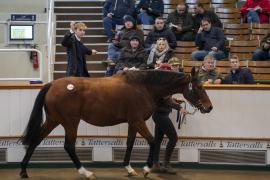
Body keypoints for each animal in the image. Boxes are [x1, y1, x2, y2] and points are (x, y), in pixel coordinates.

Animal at [20, 67, 212, 179]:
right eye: (199, 87)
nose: (209, 107)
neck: (143, 87)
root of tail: (52, 85)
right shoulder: (137, 120)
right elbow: (152, 141)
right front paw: (146, 168)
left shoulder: (133, 122)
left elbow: (130, 143)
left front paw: (129, 169)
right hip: (70, 122)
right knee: (69, 146)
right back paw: (85, 172)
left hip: (53, 120)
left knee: (36, 140)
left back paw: (23, 170)